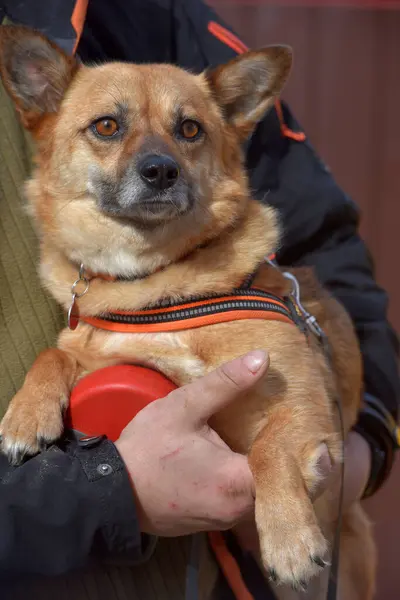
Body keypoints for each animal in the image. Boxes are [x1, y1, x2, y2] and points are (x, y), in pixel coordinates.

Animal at [0, 24, 376, 600]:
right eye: (106, 125)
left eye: (190, 129)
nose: (161, 171)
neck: (156, 284)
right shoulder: (103, 354)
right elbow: (55, 353)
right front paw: (26, 414)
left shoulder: (306, 406)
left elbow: (268, 450)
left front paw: (289, 541)